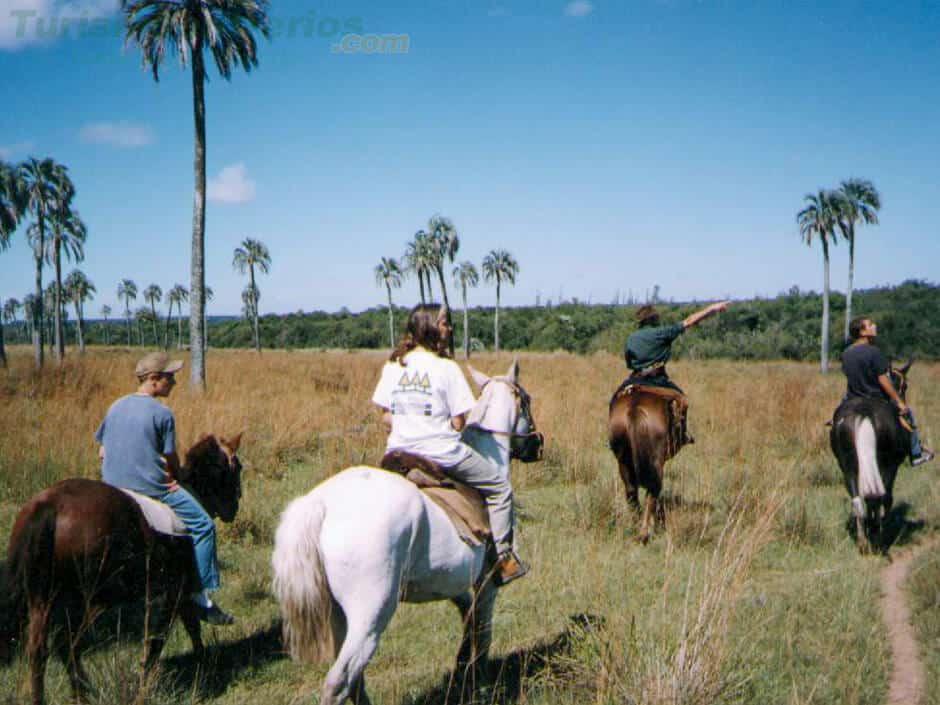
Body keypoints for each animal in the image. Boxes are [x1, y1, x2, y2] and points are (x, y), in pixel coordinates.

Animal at [0, 432, 242, 700]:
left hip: (43, 598)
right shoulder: (175, 591)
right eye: (236, 467)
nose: (234, 506)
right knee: (68, 643)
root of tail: (49, 506)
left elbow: (188, 627)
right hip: (88, 599)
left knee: (39, 649)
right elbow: (163, 636)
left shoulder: (176, 592)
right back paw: (84, 693)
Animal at [270, 360, 544, 700]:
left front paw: (461, 675)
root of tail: (320, 504)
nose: (537, 445)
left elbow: (467, 624)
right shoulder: (487, 585)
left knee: (354, 680)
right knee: (340, 680)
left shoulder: (455, 585)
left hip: (337, 615)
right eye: (527, 400)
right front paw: (476, 683)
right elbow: (482, 637)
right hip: (371, 615)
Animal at [604, 382, 688, 540]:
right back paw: (644, 533)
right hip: (656, 464)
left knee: (632, 491)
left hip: (624, 462)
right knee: (652, 491)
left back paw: (636, 528)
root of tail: (634, 409)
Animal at [828, 364, 912, 552]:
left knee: (858, 500)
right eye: (904, 386)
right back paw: (879, 537)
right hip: (885, 465)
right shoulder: (893, 466)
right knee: (880, 497)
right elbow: (886, 498)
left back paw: (863, 541)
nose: (903, 407)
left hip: (848, 466)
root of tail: (863, 412)